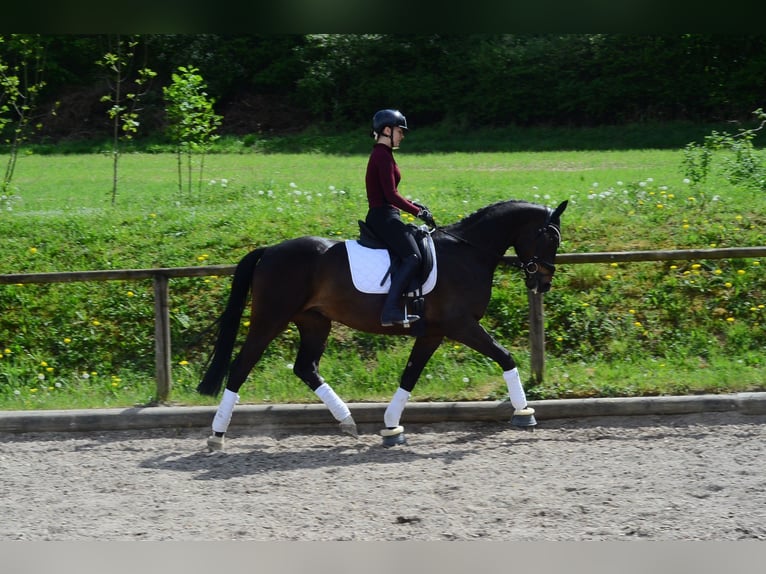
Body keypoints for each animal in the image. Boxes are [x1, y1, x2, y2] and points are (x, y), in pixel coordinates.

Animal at [197, 198, 568, 450]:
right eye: (551, 238)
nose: (543, 282)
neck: (468, 252)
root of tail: (271, 250)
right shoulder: (461, 325)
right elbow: (505, 356)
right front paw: (524, 412)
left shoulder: (433, 333)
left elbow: (410, 375)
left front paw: (391, 427)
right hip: (270, 318)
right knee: (241, 366)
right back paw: (217, 435)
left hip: (315, 322)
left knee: (305, 367)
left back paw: (347, 420)